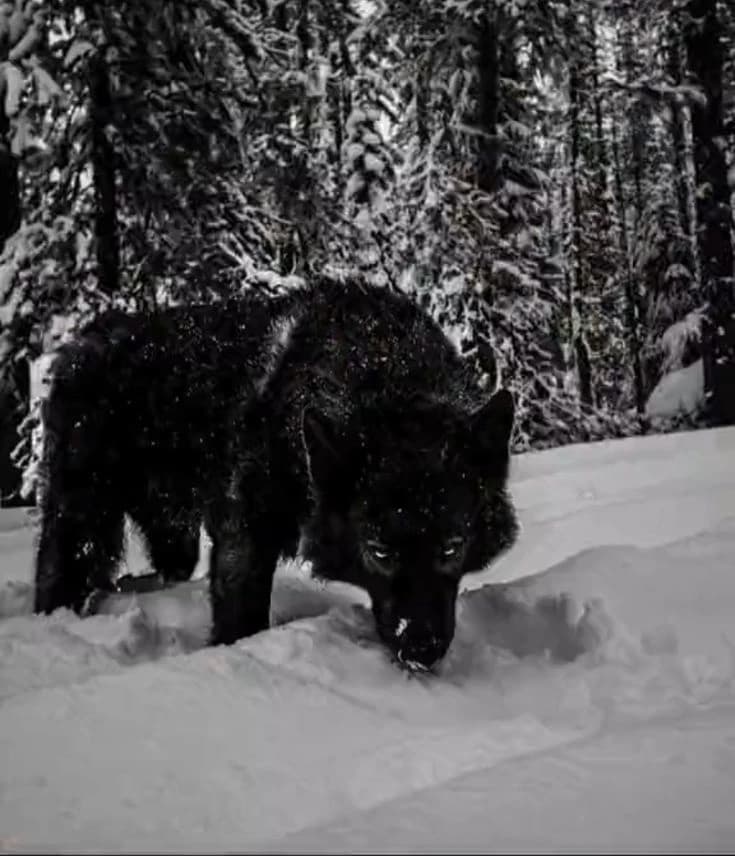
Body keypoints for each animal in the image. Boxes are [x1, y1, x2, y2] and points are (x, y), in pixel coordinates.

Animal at [35, 278, 518, 669]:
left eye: (452, 547)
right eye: (380, 552)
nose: (420, 649)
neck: (375, 365)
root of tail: (81, 344)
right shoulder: (244, 535)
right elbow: (241, 615)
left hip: (173, 531)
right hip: (82, 522)